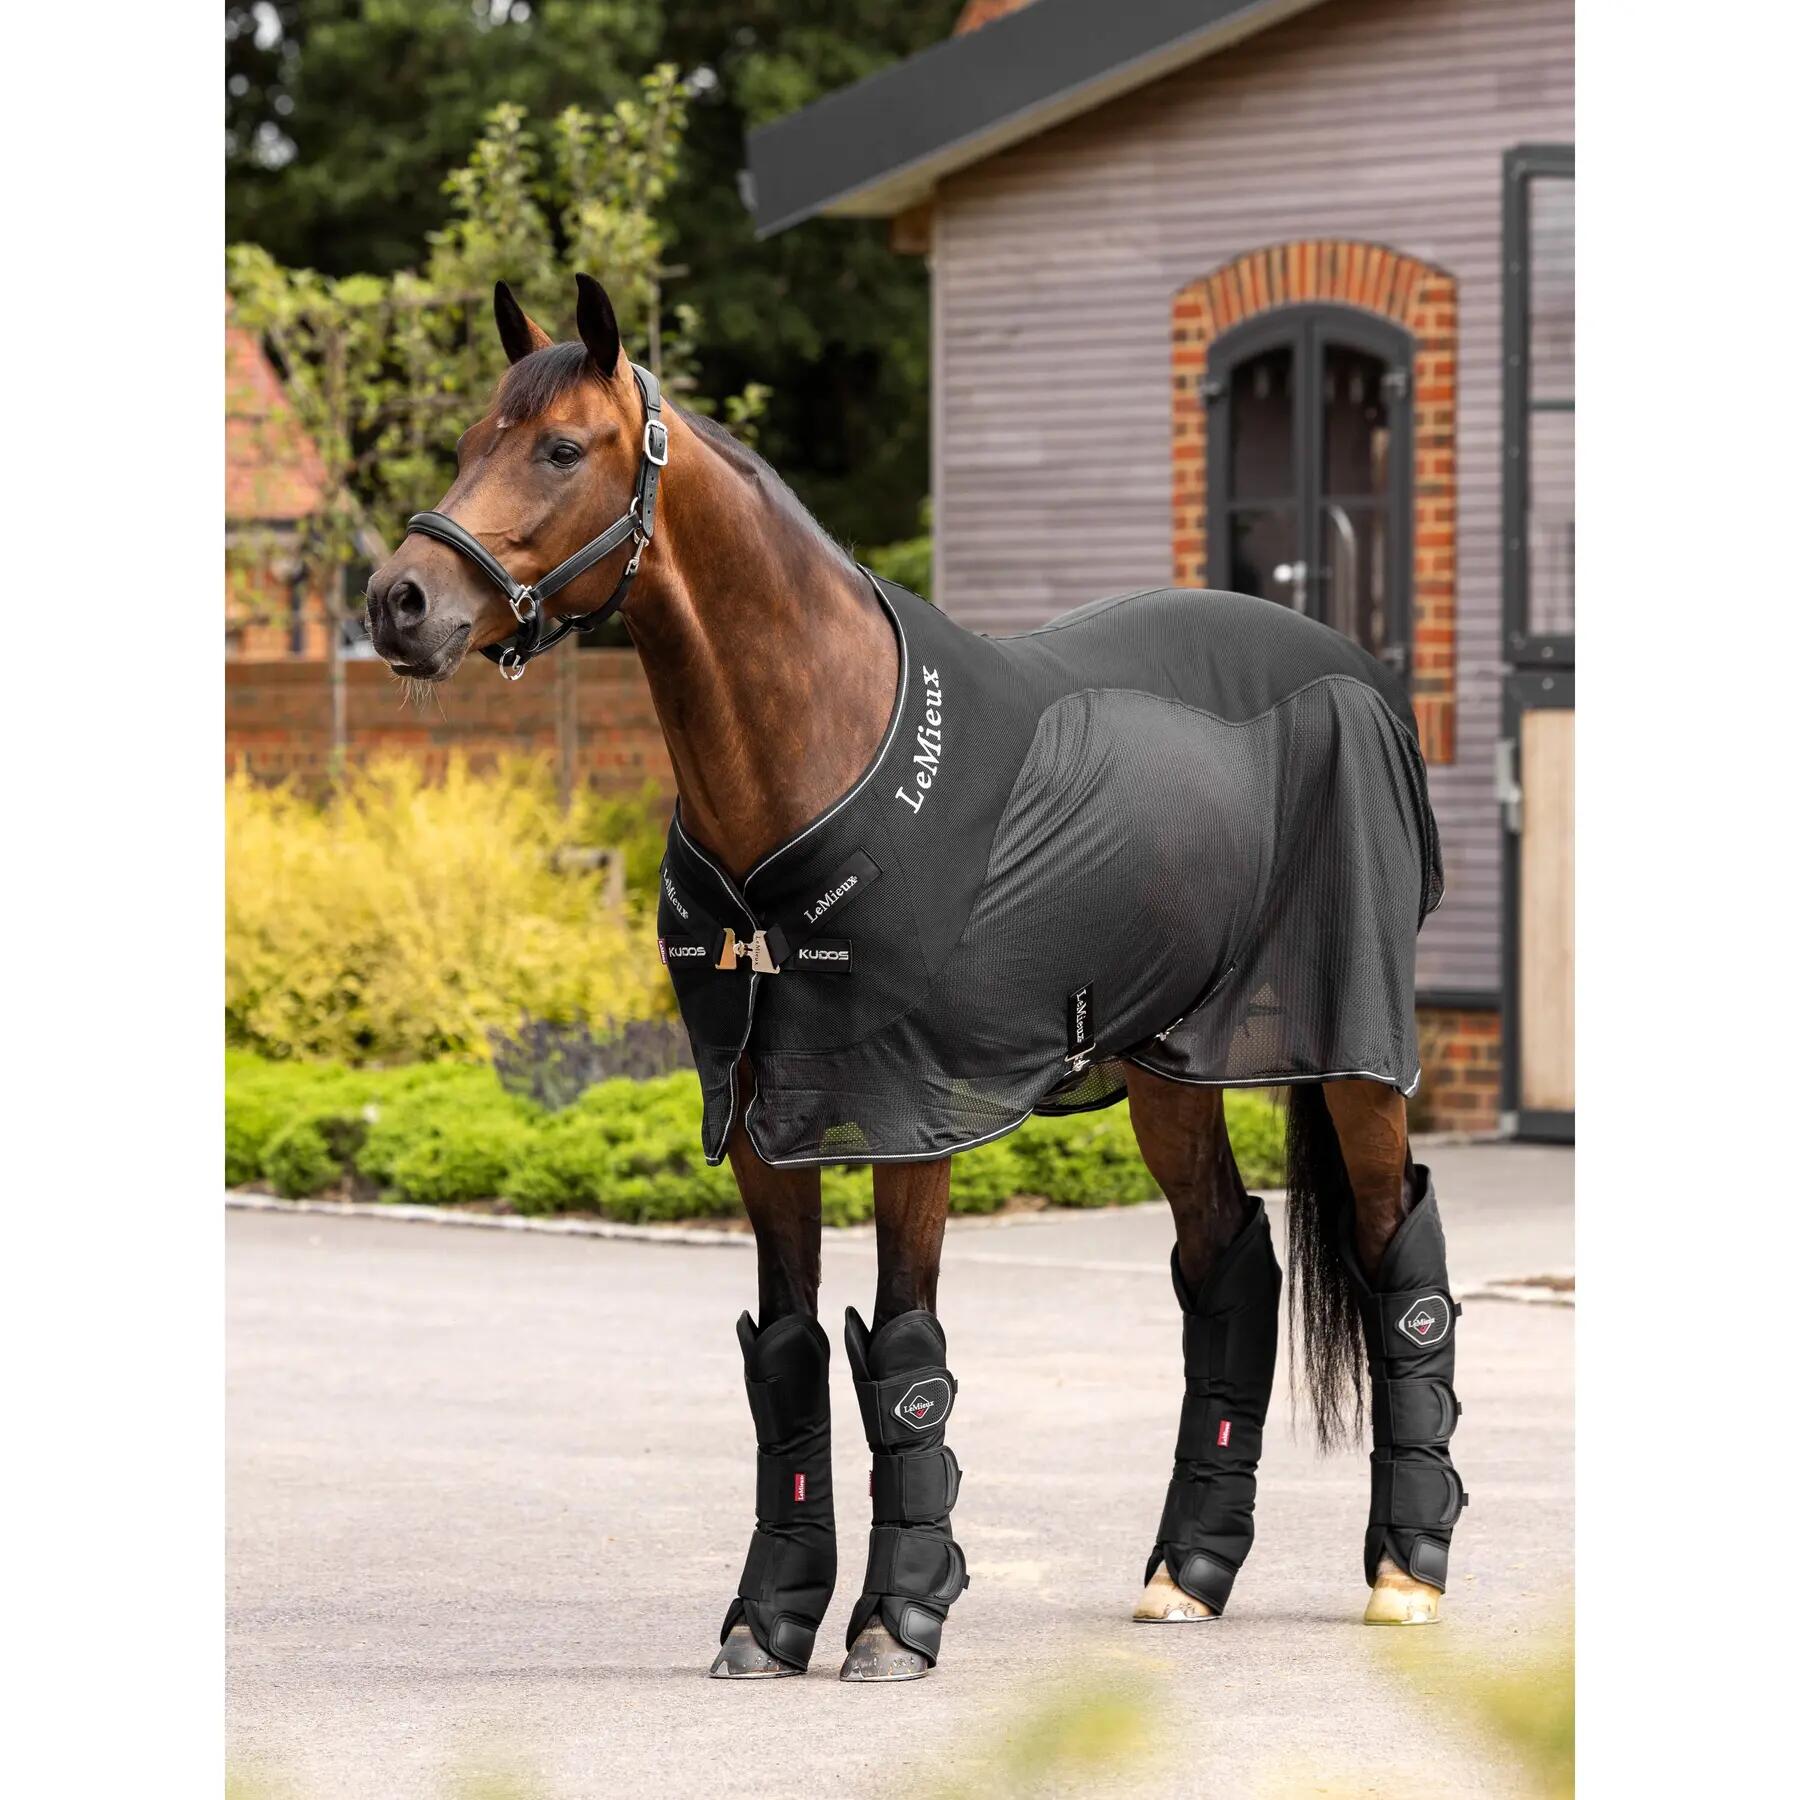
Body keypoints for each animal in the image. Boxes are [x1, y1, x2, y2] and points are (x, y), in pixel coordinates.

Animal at [365, 274, 1466, 1683]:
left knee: (1398, 1263)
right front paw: (770, 1620)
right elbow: (784, 1360)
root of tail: (1365, 678)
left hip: (1352, 1055)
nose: (400, 602)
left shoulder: (909, 1114)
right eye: (467, 442)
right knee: (1229, 1269)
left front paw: (897, 1618)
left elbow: (905, 1355)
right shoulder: (762, 1120)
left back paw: (1406, 1570)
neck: (815, 757)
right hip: (1170, 1067)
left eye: (561, 448)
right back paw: (1187, 1573)